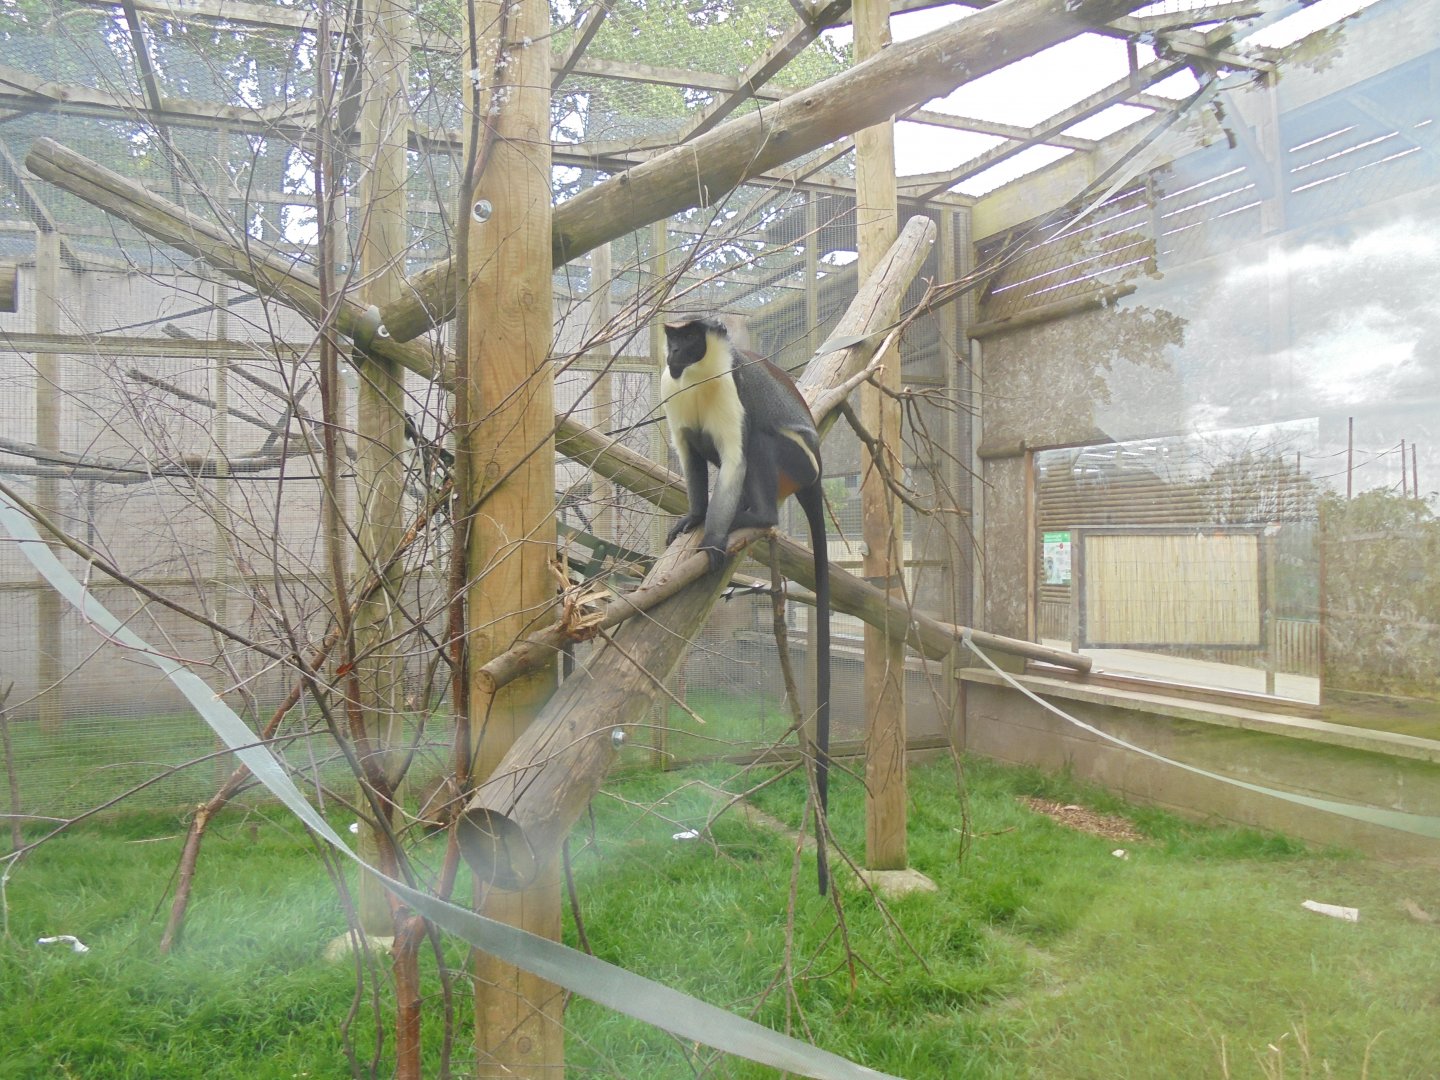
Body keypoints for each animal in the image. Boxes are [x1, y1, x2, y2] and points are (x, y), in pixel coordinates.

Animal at [659, 315, 832, 893]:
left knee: (759, 439)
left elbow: (736, 455)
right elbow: (690, 452)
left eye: (690, 339)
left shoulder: (730, 389)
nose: (673, 355)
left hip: (794, 462)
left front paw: (713, 541)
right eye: (671, 338)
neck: (697, 377)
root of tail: (817, 474)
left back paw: (756, 517)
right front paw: (696, 518)